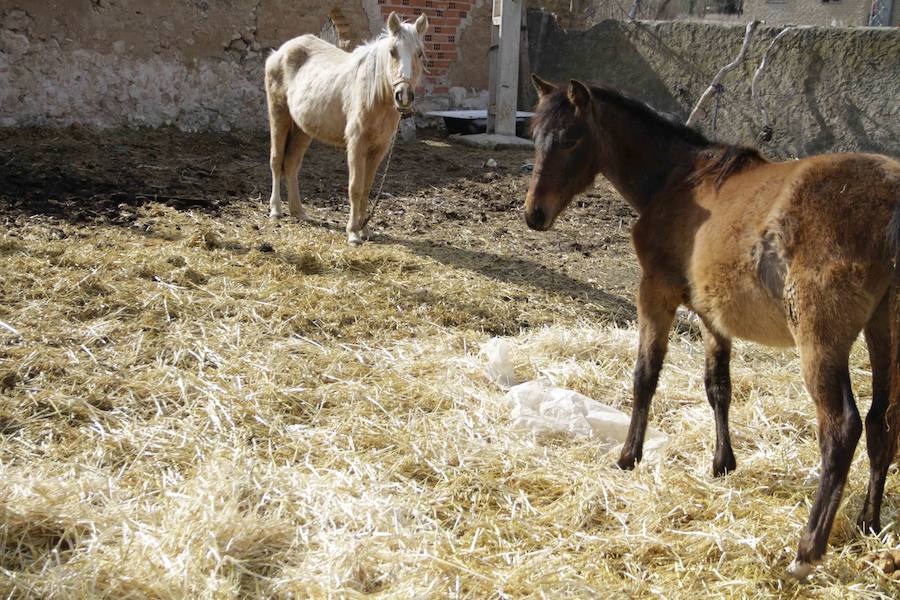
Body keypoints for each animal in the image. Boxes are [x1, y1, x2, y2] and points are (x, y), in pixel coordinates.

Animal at [264, 10, 428, 244]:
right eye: (392, 52)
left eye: (420, 54)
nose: (403, 96)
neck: (374, 95)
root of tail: (279, 52)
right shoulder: (356, 145)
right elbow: (355, 188)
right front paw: (353, 232)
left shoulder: (378, 150)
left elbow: (367, 188)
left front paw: (365, 229)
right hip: (279, 117)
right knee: (277, 161)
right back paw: (276, 210)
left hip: (302, 129)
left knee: (292, 163)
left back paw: (299, 211)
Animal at [524, 72, 896, 580]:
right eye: (534, 136)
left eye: (569, 139)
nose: (534, 214)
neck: (677, 180)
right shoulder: (711, 315)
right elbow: (718, 386)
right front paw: (722, 463)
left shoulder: (655, 293)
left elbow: (645, 377)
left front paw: (628, 456)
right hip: (885, 330)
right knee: (882, 422)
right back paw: (868, 523)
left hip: (821, 339)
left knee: (841, 429)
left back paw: (807, 550)